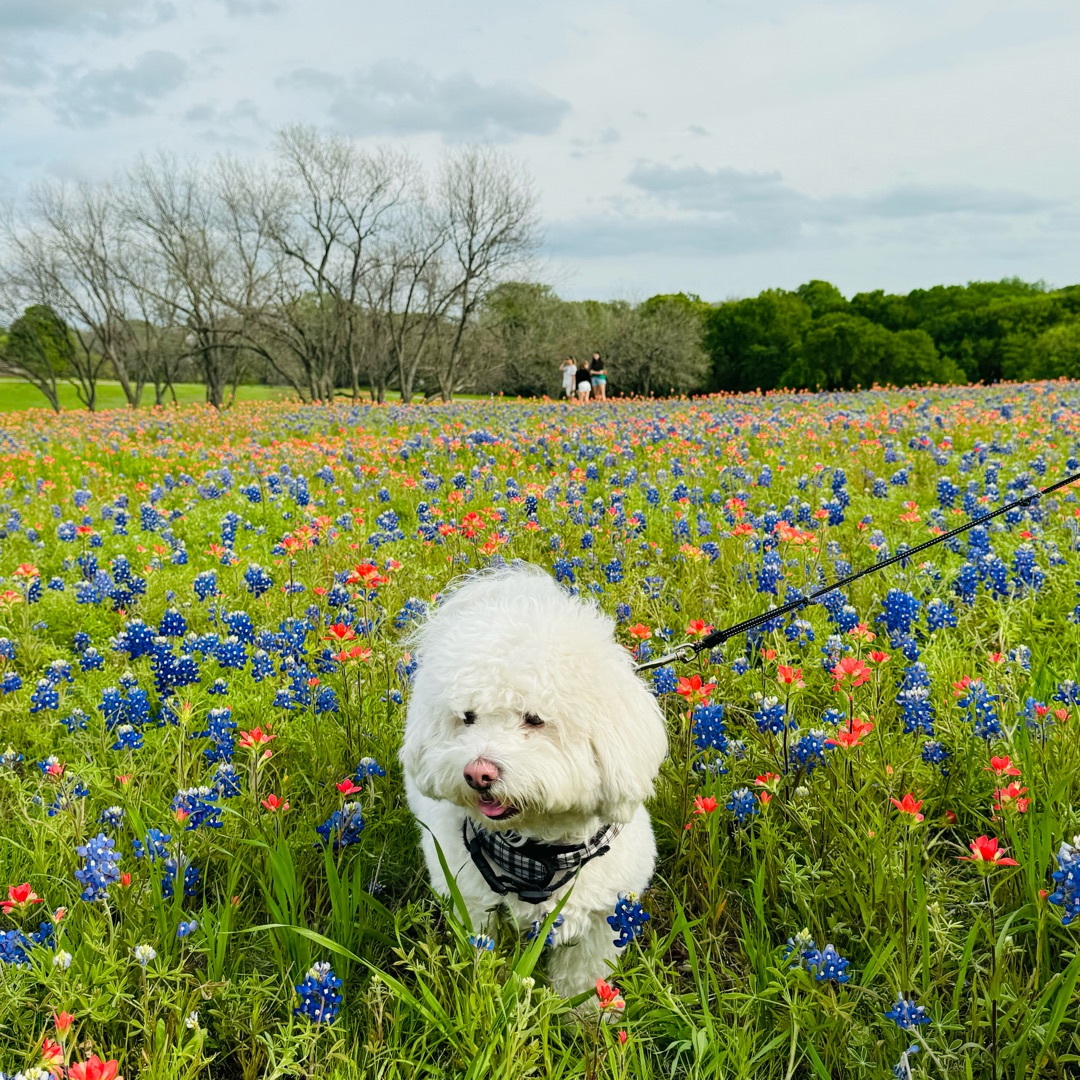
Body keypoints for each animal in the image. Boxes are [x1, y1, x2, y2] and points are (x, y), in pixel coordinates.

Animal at [397, 565, 665, 993]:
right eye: (467, 718)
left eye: (535, 719)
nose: (478, 772)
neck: (539, 856)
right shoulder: (473, 904)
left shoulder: (604, 917)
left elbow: (583, 979)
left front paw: (583, 1010)